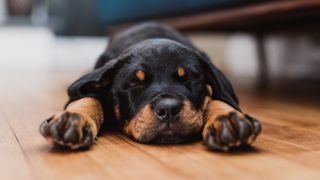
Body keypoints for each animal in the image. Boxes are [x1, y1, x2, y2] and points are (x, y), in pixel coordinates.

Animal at [40, 22, 262, 152]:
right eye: (134, 82)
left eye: (190, 78)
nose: (169, 109)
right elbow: (88, 98)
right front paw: (71, 120)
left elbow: (217, 100)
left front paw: (228, 120)